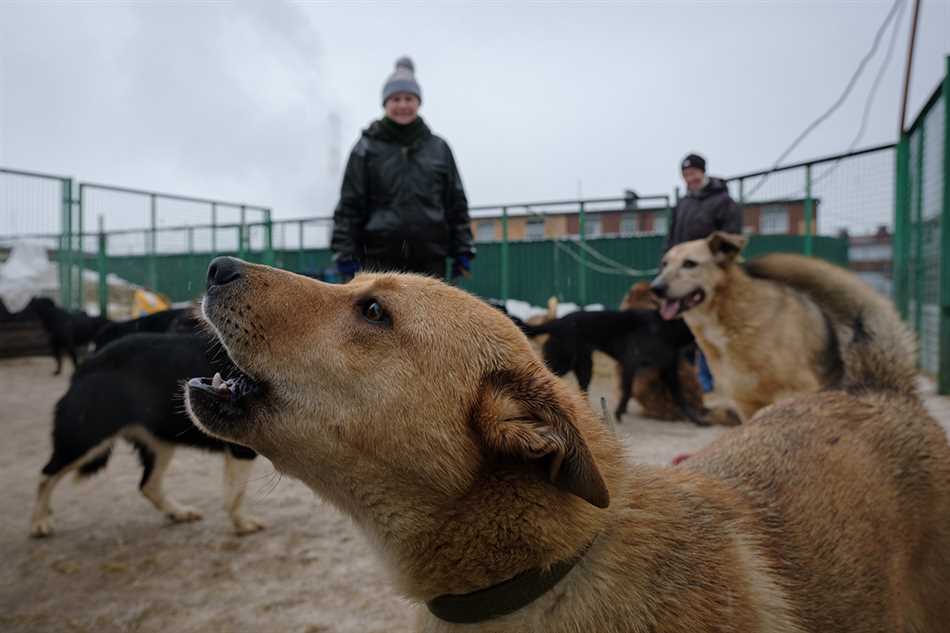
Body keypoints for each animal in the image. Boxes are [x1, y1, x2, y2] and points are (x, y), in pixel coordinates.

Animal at [29, 334, 264, 536]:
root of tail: (88, 365)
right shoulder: (241, 450)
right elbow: (236, 494)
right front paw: (242, 524)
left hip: (160, 444)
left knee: (148, 485)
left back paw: (178, 512)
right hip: (85, 440)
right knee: (46, 475)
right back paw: (39, 521)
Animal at [512, 310, 708, 424]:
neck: (667, 328)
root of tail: (558, 321)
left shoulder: (669, 371)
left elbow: (680, 397)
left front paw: (696, 419)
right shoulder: (630, 364)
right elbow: (627, 391)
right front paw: (619, 413)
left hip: (584, 367)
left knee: (582, 391)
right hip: (564, 363)